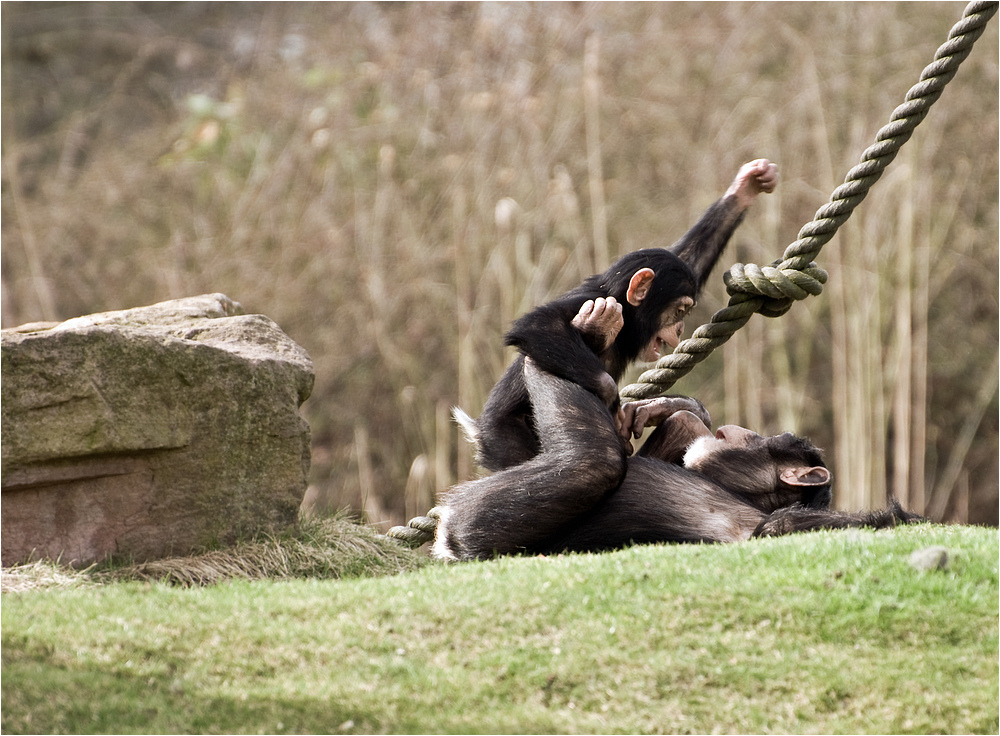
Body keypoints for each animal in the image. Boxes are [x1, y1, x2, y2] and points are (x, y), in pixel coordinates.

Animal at [434, 360, 924, 560]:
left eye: (758, 437)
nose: (737, 430)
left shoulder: (758, 526)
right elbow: (685, 428)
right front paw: (678, 408)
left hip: (477, 526)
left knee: (592, 462)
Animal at [462, 158, 780, 474]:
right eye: (680, 310)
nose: (680, 327)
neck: (626, 316)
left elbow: (689, 255)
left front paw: (744, 188)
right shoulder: (586, 303)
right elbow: (539, 325)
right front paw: (611, 400)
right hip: (505, 445)